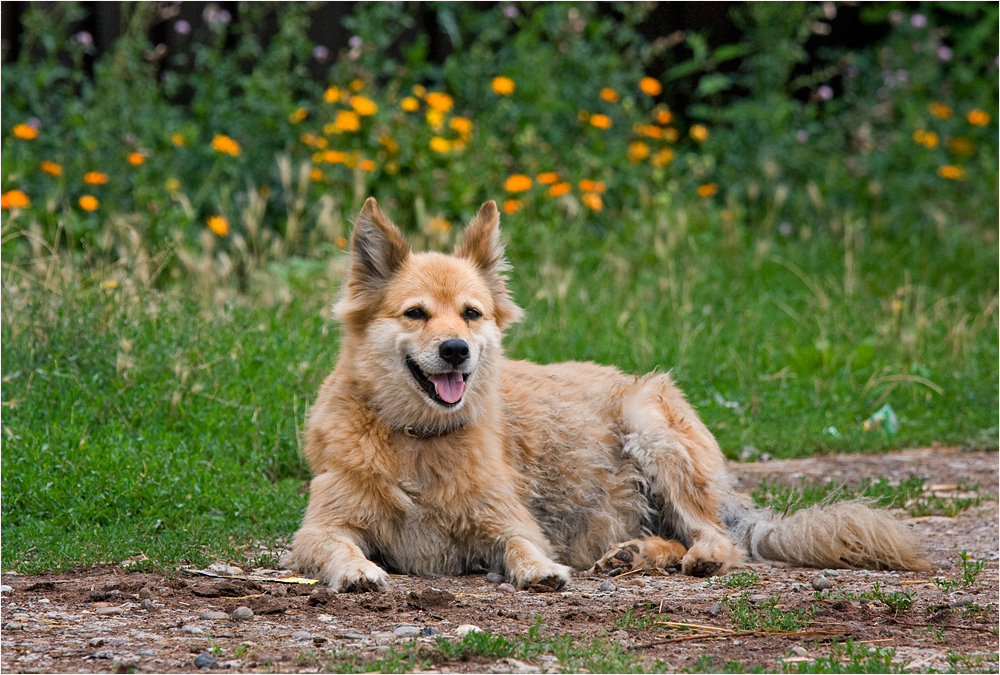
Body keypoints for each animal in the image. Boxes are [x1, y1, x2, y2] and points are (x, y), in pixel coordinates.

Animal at [284, 199, 928, 592]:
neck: (418, 441)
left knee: (719, 540)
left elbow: (521, 546)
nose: (456, 351)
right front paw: (357, 570)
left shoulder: (511, 522)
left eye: (471, 314)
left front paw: (541, 571)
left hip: (651, 423)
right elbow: (336, 547)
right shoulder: (317, 531)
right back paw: (635, 554)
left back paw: (691, 556)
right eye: (416, 313)